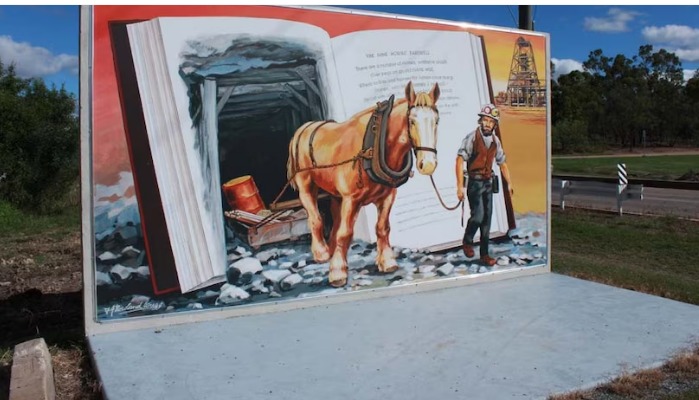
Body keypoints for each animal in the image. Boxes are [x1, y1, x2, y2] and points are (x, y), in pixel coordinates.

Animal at [286, 82, 440, 288]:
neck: (374, 145)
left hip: (335, 194)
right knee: (315, 218)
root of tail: (304, 128)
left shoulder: (387, 196)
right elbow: (345, 233)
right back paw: (321, 253)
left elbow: (382, 227)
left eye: (436, 121)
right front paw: (337, 272)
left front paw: (387, 261)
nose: (428, 164)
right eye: (412, 121)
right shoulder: (351, 199)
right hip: (306, 186)